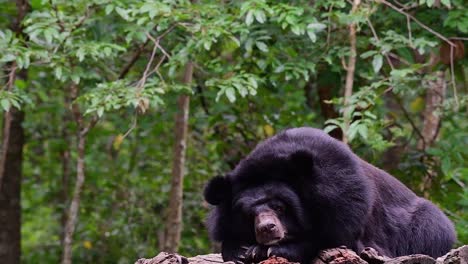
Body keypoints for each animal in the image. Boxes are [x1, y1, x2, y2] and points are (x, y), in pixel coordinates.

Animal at [203, 127, 456, 262]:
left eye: (279, 207)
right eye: (248, 214)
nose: (267, 229)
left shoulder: (345, 198)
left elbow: (334, 238)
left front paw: (263, 250)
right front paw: (240, 251)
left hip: (426, 227)